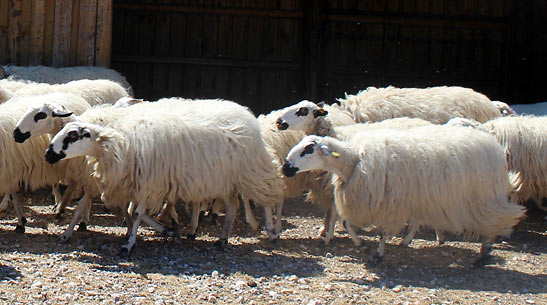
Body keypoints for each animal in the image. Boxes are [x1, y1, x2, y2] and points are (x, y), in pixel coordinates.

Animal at [46, 98, 284, 253]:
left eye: (73, 136)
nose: (48, 154)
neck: (121, 144)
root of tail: (246, 114)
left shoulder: (148, 183)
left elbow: (138, 213)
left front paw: (130, 244)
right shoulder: (136, 185)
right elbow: (134, 212)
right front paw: (167, 230)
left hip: (250, 170)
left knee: (267, 197)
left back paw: (272, 231)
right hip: (222, 180)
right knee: (233, 206)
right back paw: (223, 239)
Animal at [282, 124, 528, 266]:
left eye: (308, 149)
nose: (285, 168)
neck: (354, 162)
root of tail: (495, 147)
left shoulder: (387, 204)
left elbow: (380, 233)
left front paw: (377, 255)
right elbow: (347, 223)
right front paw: (361, 244)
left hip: (483, 198)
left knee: (495, 221)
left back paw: (484, 253)